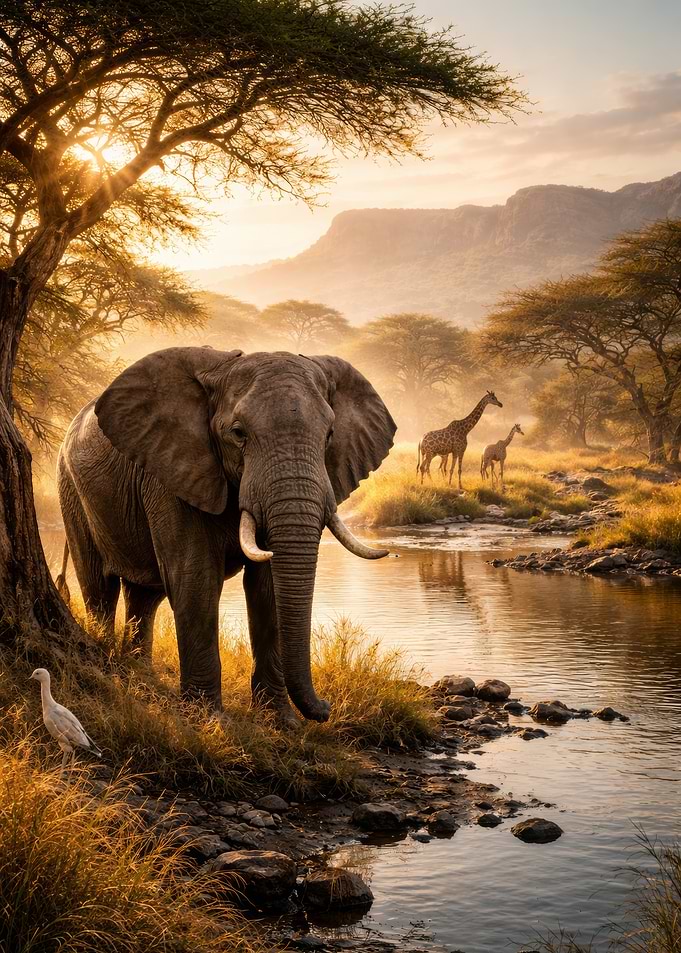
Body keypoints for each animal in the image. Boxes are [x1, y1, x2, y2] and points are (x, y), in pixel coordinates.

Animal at [56, 347, 396, 724]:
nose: (326, 708)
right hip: (71, 489)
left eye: (330, 435)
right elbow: (196, 579)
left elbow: (267, 588)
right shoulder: (174, 474)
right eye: (238, 433)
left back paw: (141, 675)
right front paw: (208, 720)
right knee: (99, 587)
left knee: (143, 596)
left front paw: (282, 722)